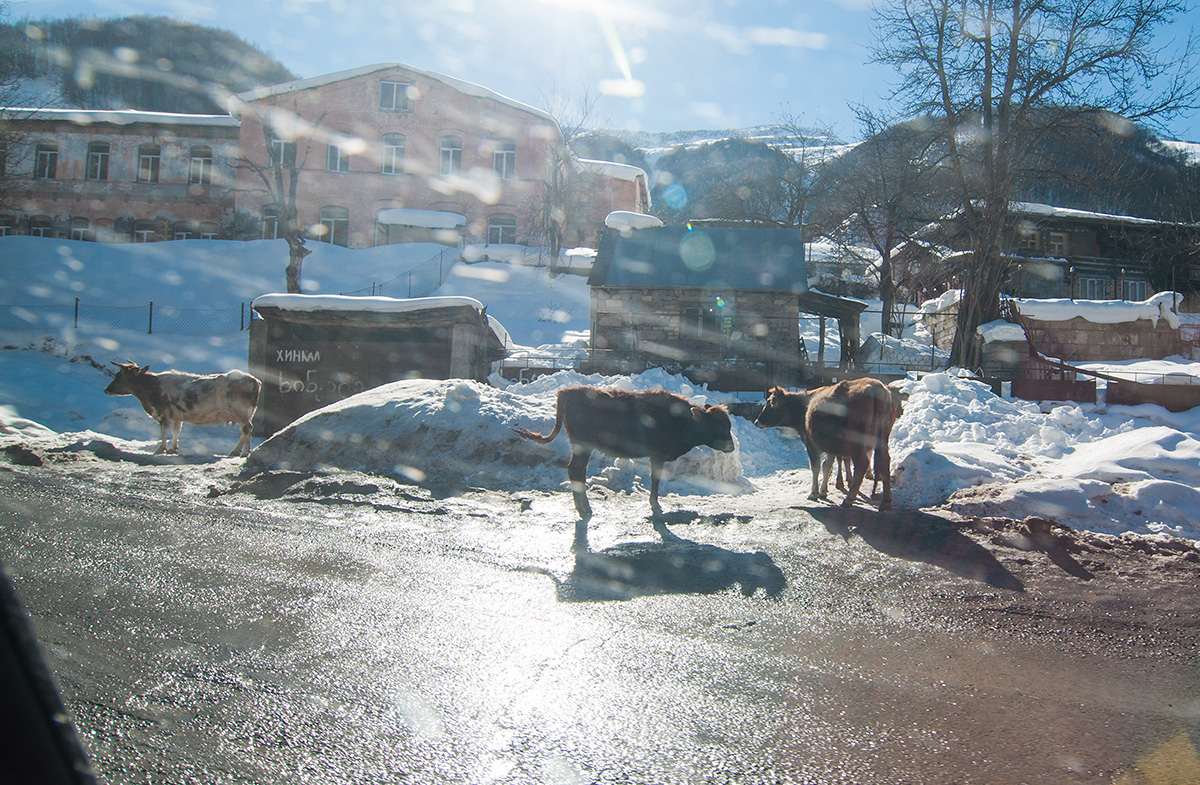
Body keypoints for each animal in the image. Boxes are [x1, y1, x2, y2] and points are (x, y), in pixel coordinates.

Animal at [105, 364, 262, 458]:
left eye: (118, 376)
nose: (106, 389)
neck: (151, 386)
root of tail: (253, 379)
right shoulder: (176, 416)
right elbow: (176, 431)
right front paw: (173, 449)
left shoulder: (162, 413)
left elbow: (164, 432)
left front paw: (160, 449)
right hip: (245, 415)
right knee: (244, 432)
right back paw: (235, 451)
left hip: (241, 413)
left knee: (247, 429)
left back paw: (244, 453)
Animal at [758, 379, 902, 513]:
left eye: (769, 403)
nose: (756, 421)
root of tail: (876, 388)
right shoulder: (831, 447)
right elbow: (827, 466)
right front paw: (823, 491)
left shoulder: (811, 444)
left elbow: (816, 467)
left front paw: (814, 493)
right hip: (882, 438)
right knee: (884, 461)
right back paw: (886, 502)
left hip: (857, 443)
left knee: (862, 464)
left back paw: (848, 500)